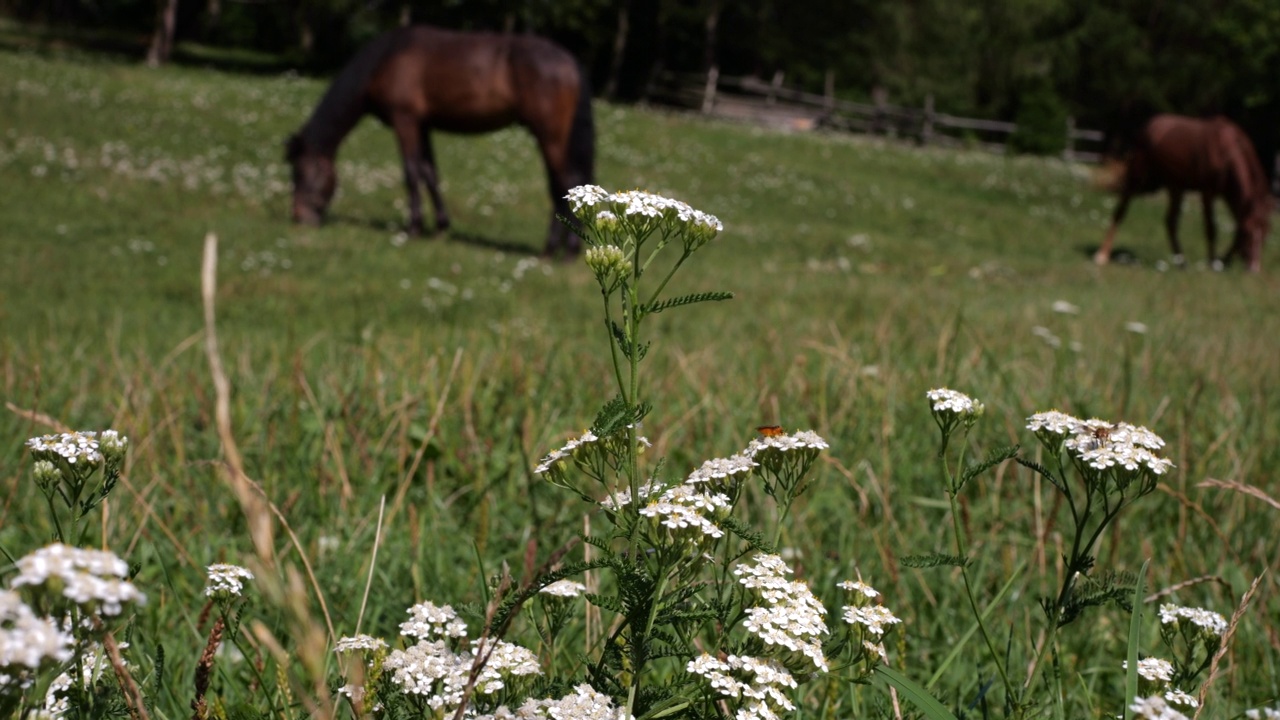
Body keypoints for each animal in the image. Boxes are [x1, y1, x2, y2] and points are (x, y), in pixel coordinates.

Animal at [285, 25, 593, 254]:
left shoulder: (405, 121)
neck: (386, 59)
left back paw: (557, 250)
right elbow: (429, 174)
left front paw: (413, 228)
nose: (299, 216)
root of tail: (569, 61)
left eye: (300, 172)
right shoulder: (423, 125)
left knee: (564, 182)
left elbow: (411, 173)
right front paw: (441, 228)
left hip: (550, 136)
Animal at [1090, 114, 1269, 271]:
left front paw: (1223, 261)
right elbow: (1211, 229)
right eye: (1248, 234)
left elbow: (1235, 230)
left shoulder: (1230, 198)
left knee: (1170, 222)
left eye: (1266, 234)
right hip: (1140, 178)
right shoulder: (1207, 192)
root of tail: (1150, 124)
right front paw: (1213, 264)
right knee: (1121, 209)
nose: (1253, 269)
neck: (1226, 152)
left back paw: (1181, 263)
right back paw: (1102, 255)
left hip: (1174, 187)